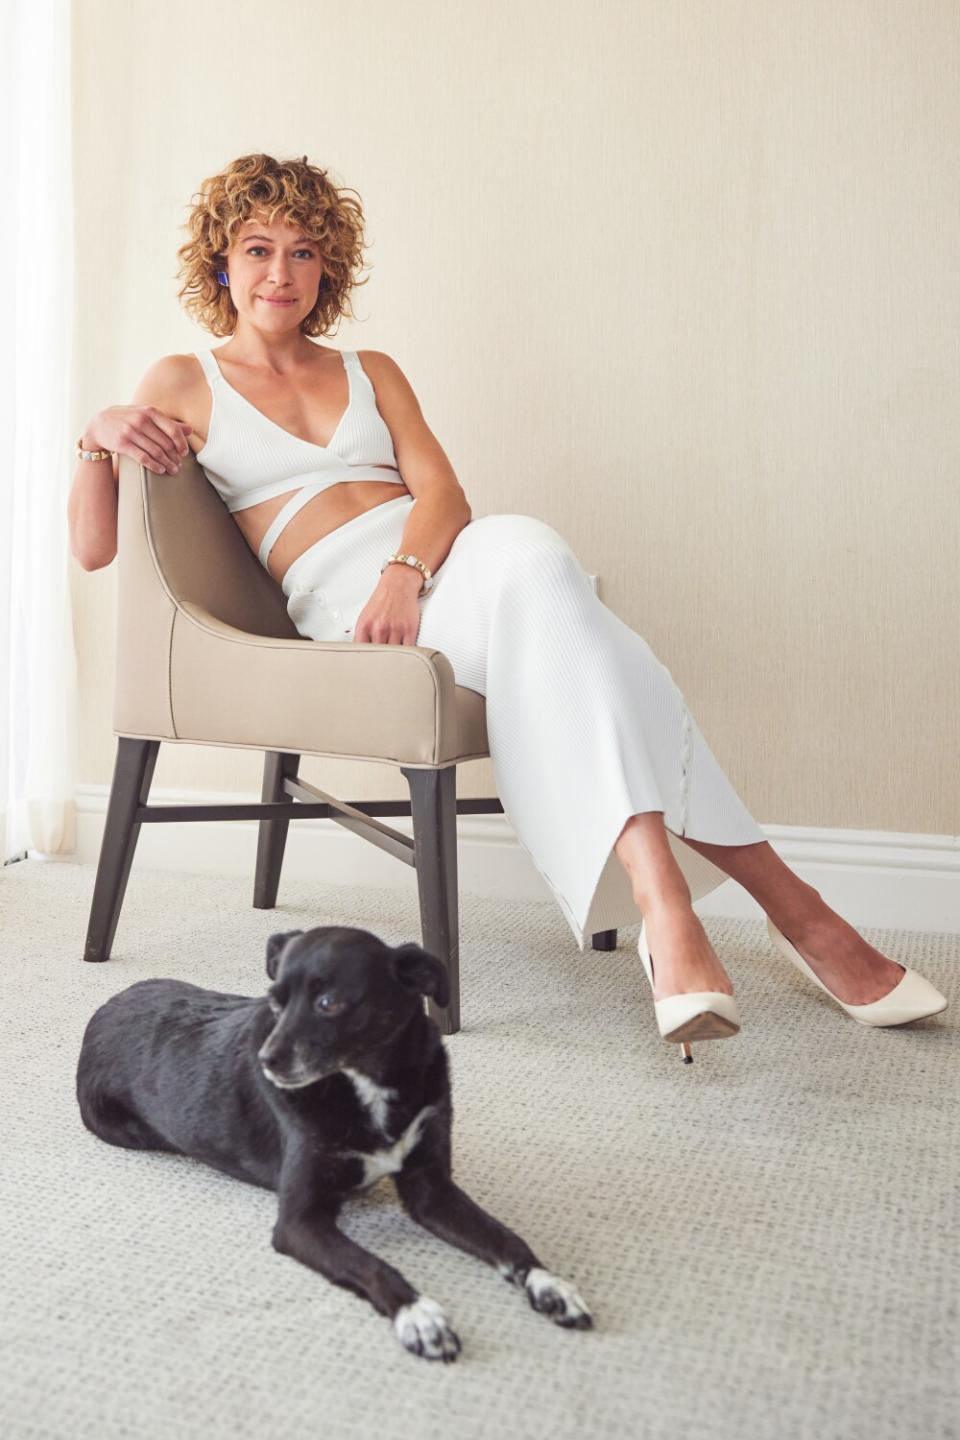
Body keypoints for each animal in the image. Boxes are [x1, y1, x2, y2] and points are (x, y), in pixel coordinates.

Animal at [78, 927, 592, 1353]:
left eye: (329, 1003)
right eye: (275, 1001)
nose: (266, 1060)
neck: (367, 1082)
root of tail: (105, 1006)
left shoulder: (431, 1189)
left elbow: (505, 1237)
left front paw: (550, 1285)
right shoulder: (299, 1222)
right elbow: (370, 1264)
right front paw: (419, 1315)